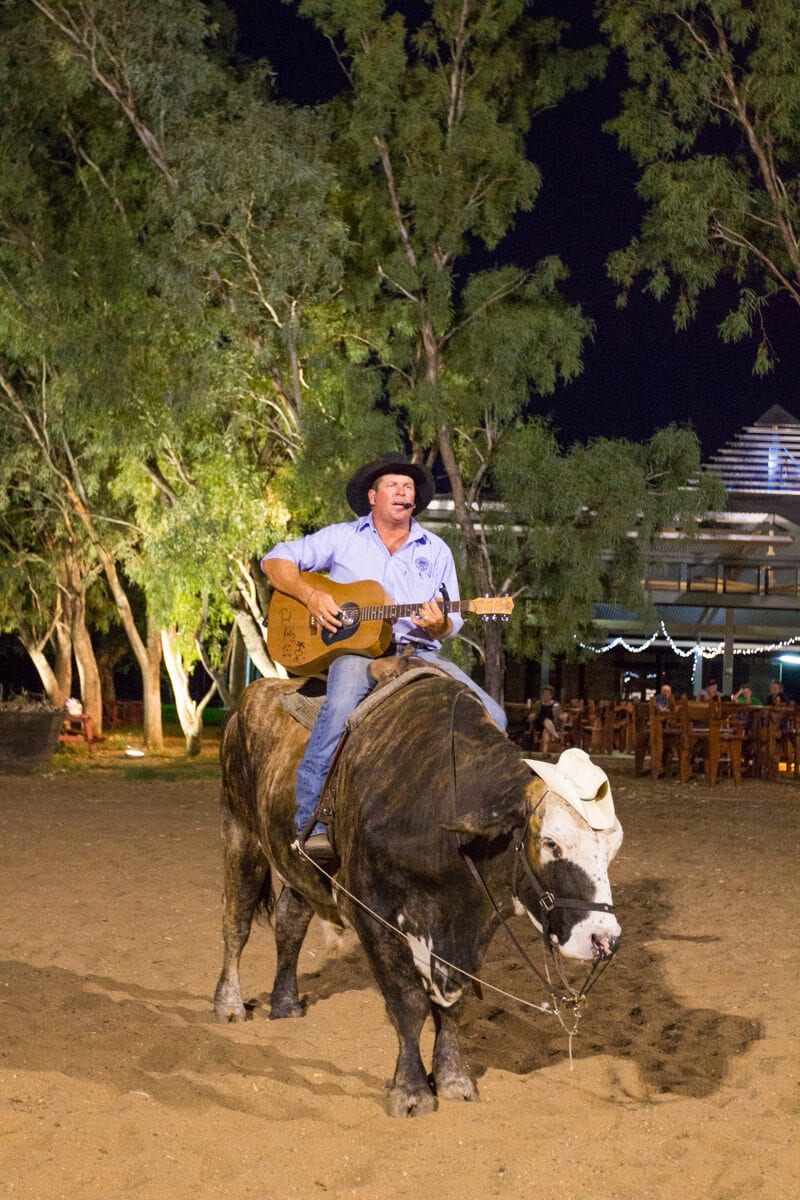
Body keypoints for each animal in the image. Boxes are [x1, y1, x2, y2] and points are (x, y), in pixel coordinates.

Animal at [214, 676, 623, 1113]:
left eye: (613, 847)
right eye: (551, 843)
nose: (605, 940)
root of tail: (257, 691)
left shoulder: (470, 922)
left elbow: (454, 1003)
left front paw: (454, 1080)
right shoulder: (371, 911)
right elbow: (408, 1001)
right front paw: (410, 1091)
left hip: (294, 862)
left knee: (290, 921)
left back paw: (286, 1003)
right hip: (239, 828)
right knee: (236, 921)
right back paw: (229, 1005)